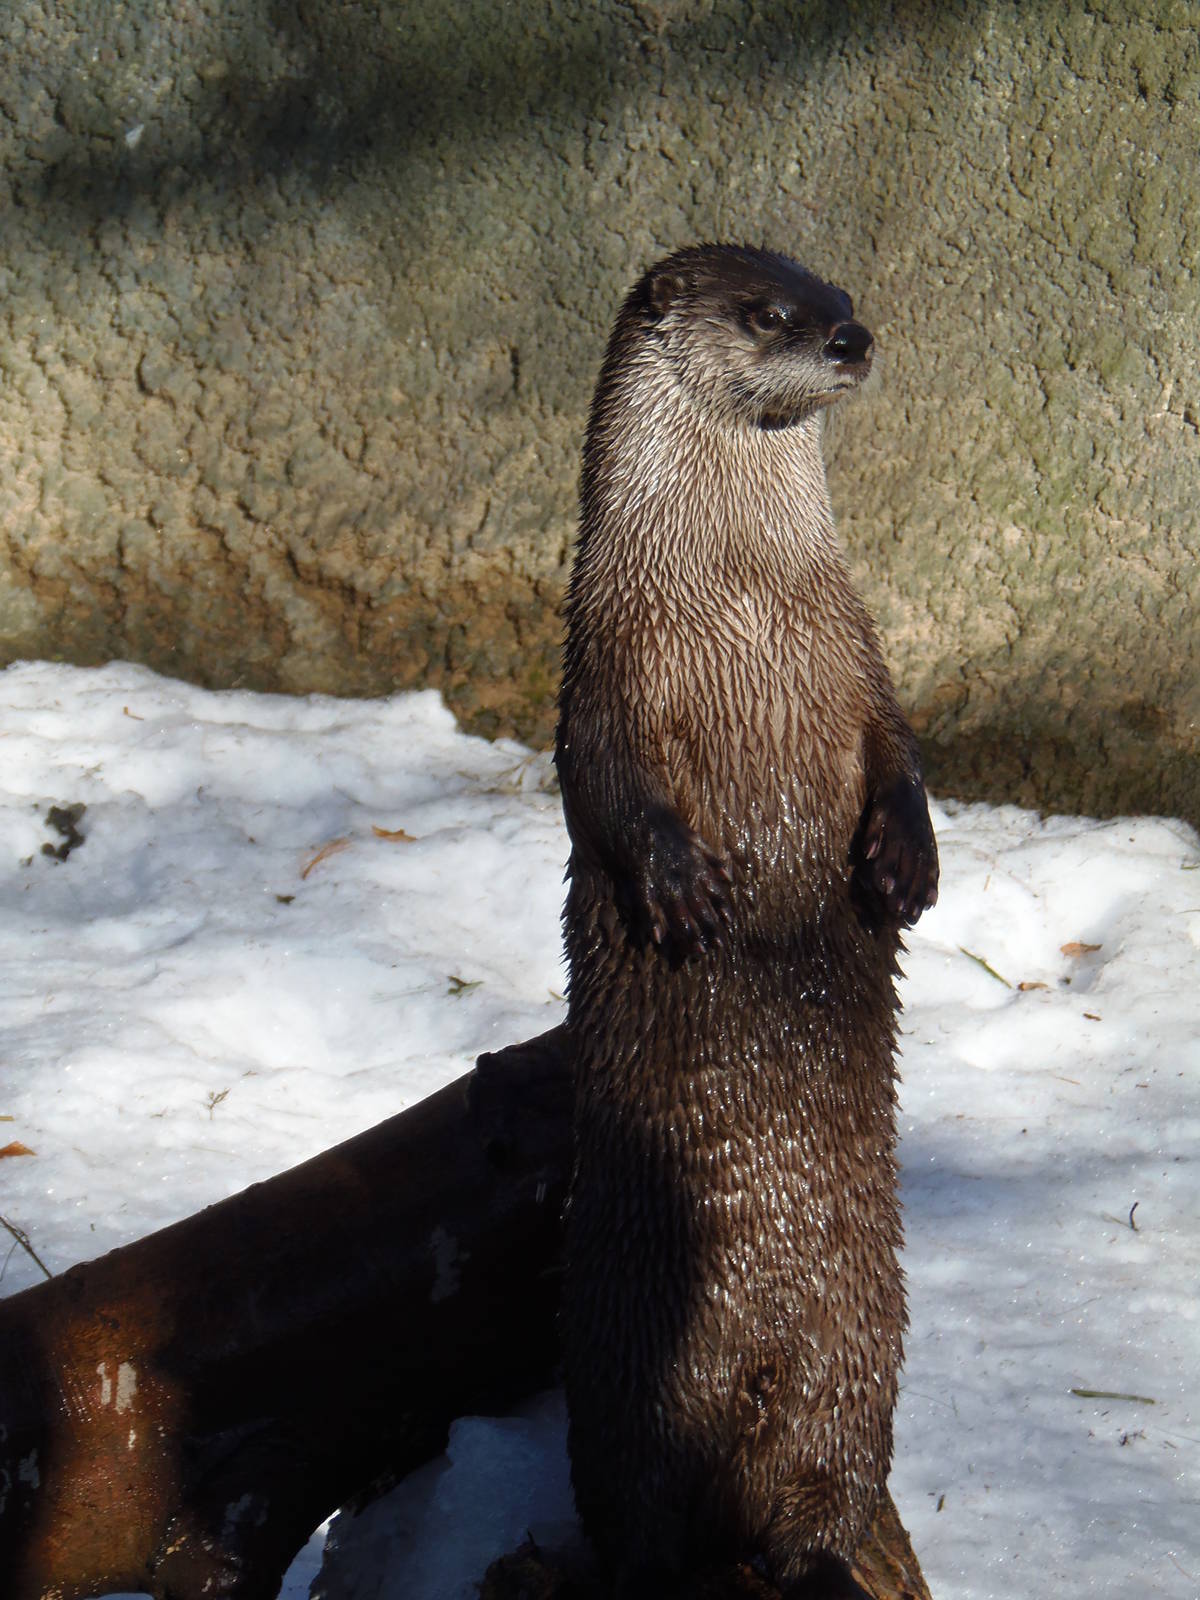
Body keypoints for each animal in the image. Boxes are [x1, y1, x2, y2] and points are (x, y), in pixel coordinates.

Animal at [556, 245, 938, 1598]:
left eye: (839, 291)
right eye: (771, 312)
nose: (853, 337)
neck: (743, 600)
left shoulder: (862, 656)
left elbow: (903, 755)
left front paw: (907, 870)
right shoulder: (606, 670)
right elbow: (608, 785)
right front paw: (682, 890)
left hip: (859, 1356)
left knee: (822, 1492)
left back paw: (817, 1559)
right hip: (628, 1370)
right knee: (637, 1513)